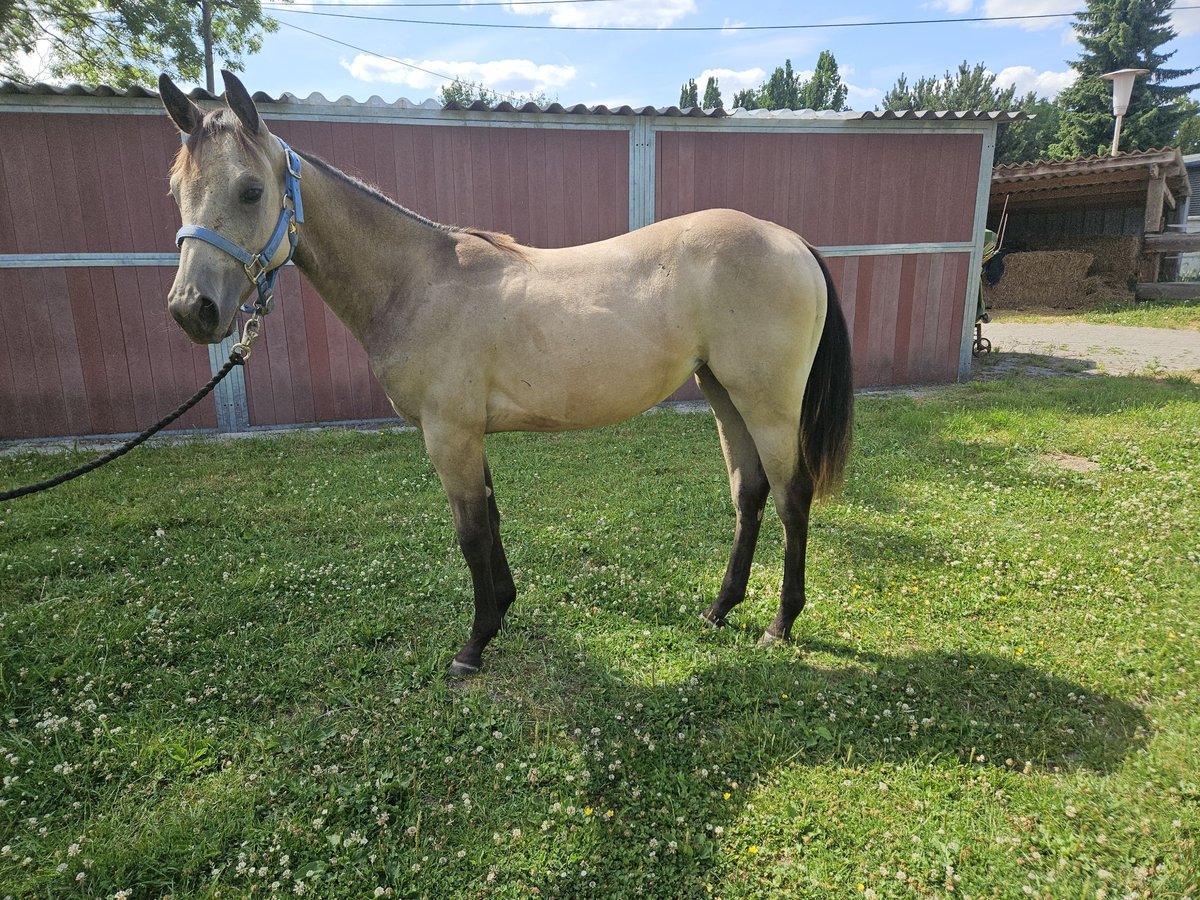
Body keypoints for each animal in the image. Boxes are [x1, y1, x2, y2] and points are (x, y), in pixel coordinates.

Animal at [158, 71, 855, 676]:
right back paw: (718, 610)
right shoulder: (469, 434)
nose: (193, 310)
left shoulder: (450, 434)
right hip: (724, 394)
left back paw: (780, 625)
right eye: (175, 192)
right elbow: (491, 520)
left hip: (767, 403)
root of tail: (789, 240)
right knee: (750, 495)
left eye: (251, 190)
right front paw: (505, 605)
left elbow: (470, 532)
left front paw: (475, 643)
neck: (417, 283)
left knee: (792, 499)